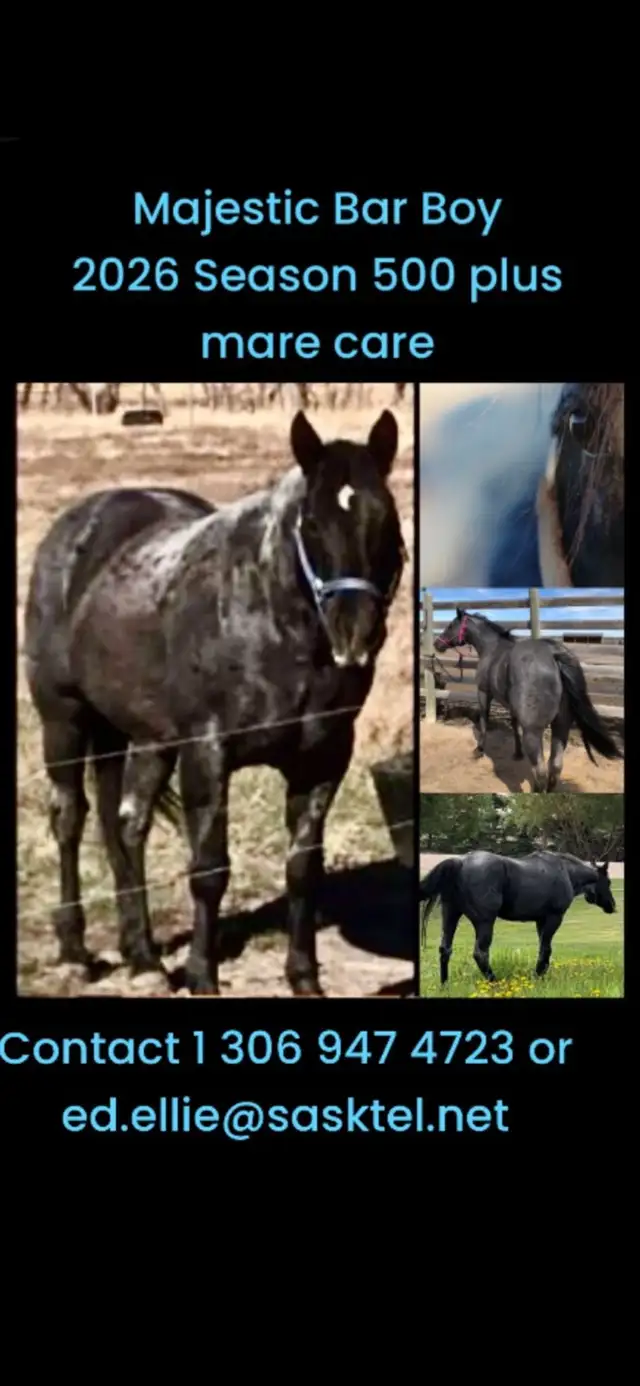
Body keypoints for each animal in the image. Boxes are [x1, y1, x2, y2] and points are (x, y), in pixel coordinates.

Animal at [23, 409, 408, 997]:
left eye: (385, 520)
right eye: (312, 525)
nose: (355, 635)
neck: (273, 625)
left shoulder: (323, 760)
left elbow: (303, 868)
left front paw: (304, 977)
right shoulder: (207, 754)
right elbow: (209, 870)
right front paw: (203, 976)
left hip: (146, 738)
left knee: (126, 826)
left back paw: (143, 958)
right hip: (64, 720)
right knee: (69, 818)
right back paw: (75, 952)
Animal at [419, 850, 617, 984]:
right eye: (608, 881)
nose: (612, 906)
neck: (565, 871)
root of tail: (461, 862)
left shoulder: (540, 920)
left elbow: (543, 948)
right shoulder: (554, 917)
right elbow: (546, 949)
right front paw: (538, 976)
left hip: (451, 915)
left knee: (445, 949)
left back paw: (445, 985)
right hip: (484, 922)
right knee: (480, 953)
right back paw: (494, 982)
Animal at [434, 608, 623, 791]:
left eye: (451, 625)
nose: (437, 644)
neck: (492, 649)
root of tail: (553, 655)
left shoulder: (484, 693)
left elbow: (484, 720)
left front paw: (478, 750)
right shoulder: (512, 707)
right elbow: (514, 724)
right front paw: (517, 753)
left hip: (533, 731)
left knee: (540, 772)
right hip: (561, 726)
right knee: (555, 767)